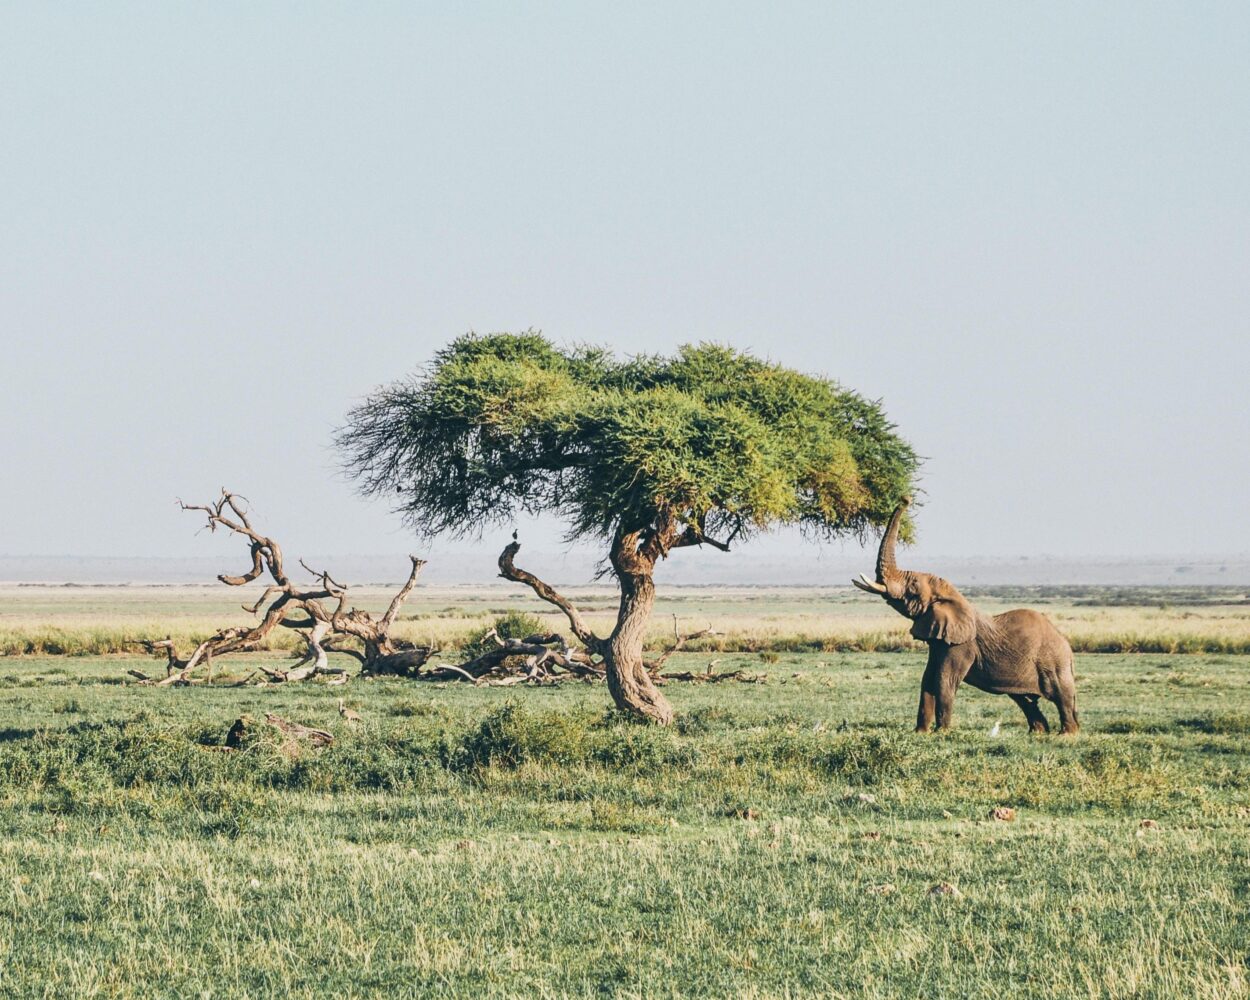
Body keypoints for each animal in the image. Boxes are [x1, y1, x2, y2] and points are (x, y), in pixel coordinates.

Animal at [855, 497, 1080, 735]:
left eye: (913, 587)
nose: (906, 499)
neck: (954, 597)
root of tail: (1066, 645)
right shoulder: (940, 640)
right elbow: (928, 679)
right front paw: (921, 733)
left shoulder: (961, 645)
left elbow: (944, 680)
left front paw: (941, 733)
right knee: (1025, 699)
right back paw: (1037, 733)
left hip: (1053, 662)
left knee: (1062, 696)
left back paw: (1066, 735)